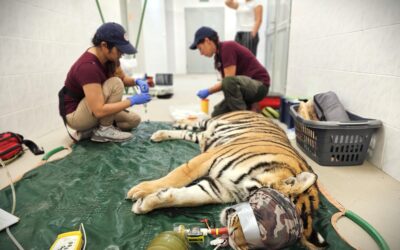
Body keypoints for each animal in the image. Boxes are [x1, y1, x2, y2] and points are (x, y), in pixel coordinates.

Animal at [127, 112, 324, 250]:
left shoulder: (216, 189)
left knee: (191, 134)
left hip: (203, 137)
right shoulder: (209, 158)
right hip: (213, 123)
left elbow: (185, 198)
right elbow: (179, 175)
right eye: (259, 214)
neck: (245, 184)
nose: (233, 237)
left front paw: (145, 203)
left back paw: (161, 133)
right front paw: (140, 190)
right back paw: (173, 124)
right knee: (199, 121)